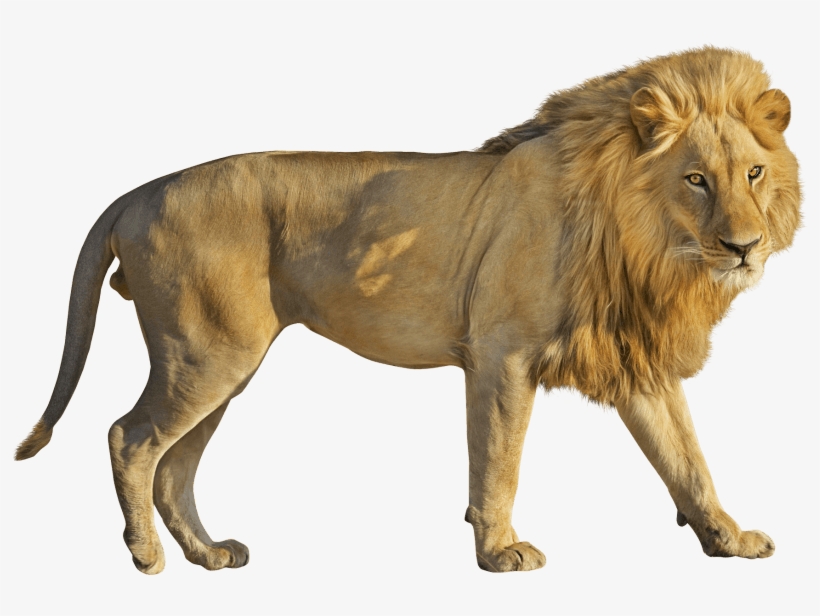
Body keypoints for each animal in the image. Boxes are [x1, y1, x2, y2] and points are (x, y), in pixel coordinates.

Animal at [16, 47, 801, 574]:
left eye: (754, 173)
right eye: (696, 180)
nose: (744, 247)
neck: (646, 245)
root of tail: (140, 191)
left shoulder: (634, 359)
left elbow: (688, 459)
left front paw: (728, 539)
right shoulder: (501, 352)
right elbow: (499, 459)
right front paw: (500, 550)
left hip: (222, 363)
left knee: (174, 465)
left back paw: (209, 555)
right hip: (208, 353)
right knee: (130, 438)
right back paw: (146, 557)